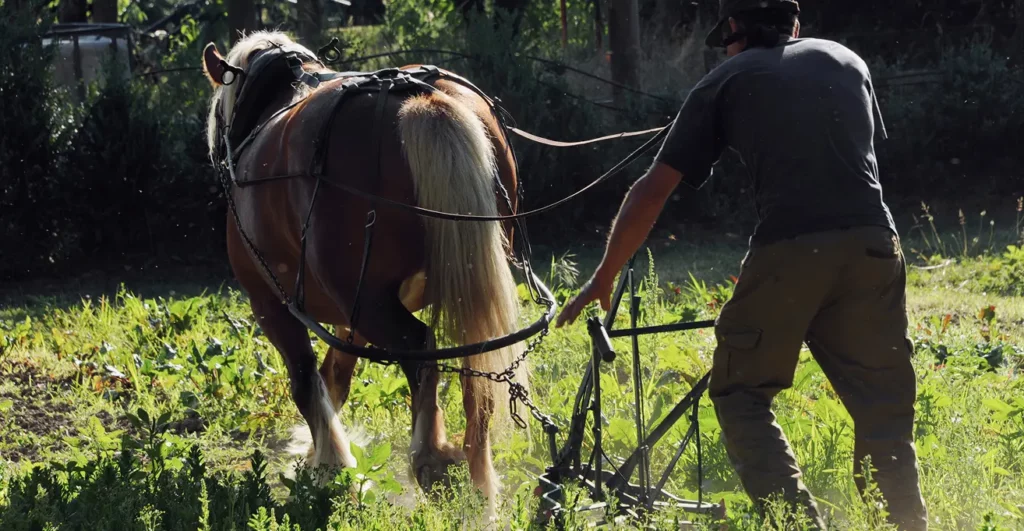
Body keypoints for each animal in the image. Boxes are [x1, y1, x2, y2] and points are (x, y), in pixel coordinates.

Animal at [201, 30, 528, 516]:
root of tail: (417, 96)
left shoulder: (272, 304)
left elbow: (306, 382)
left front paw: (329, 467)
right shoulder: (349, 315)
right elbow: (336, 376)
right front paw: (319, 457)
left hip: (369, 305)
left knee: (420, 352)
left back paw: (431, 460)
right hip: (446, 294)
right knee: (477, 370)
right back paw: (477, 483)